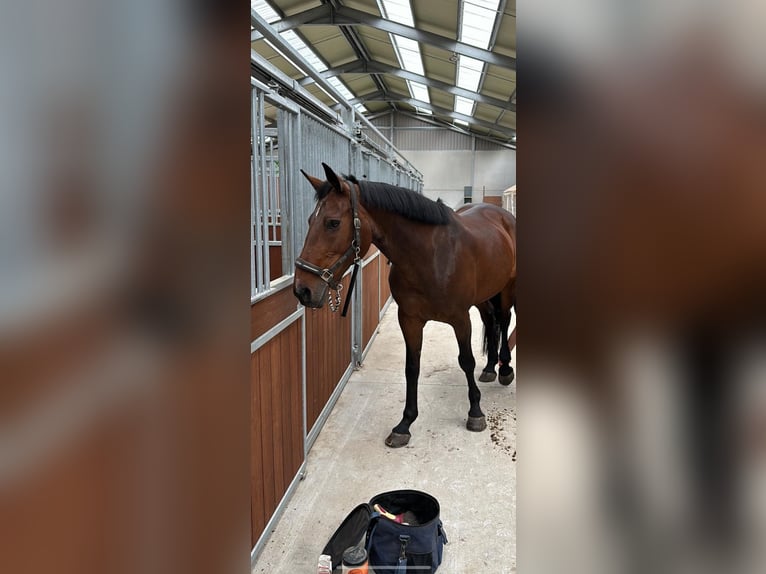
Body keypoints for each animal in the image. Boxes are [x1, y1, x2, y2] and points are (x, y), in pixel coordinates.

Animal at [293, 163, 517, 448]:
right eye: (311, 221)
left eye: (332, 223)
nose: (302, 290)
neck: (431, 257)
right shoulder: (409, 319)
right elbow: (412, 367)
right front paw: (405, 424)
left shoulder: (460, 319)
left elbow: (466, 360)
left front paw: (475, 412)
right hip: (482, 297)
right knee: (491, 320)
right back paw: (489, 368)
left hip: (507, 288)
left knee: (504, 319)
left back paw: (505, 369)